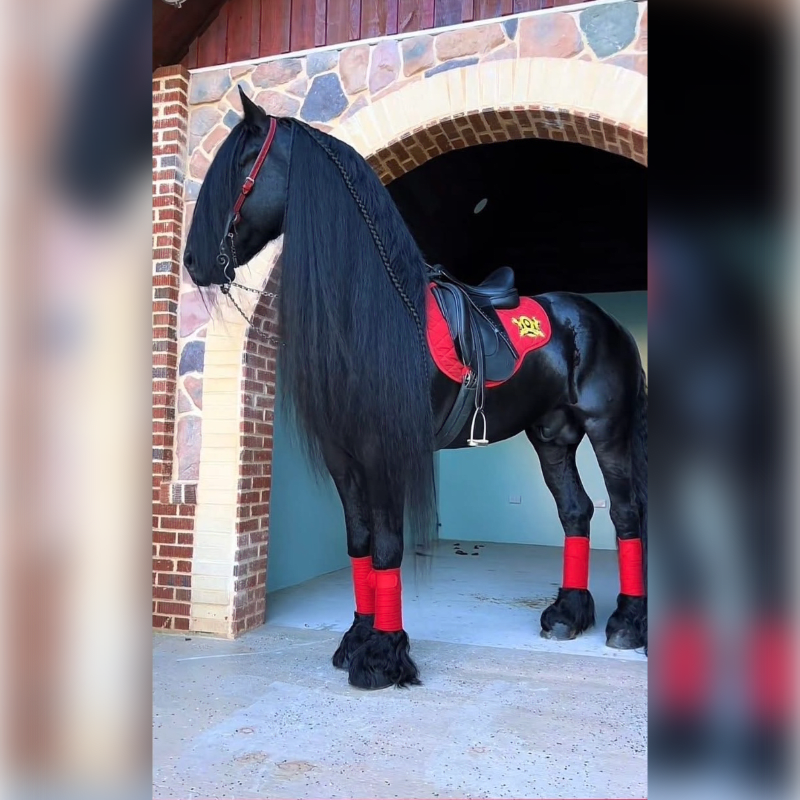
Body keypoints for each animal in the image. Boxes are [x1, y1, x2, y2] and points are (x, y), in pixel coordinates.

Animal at [182, 87, 648, 690]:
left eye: (243, 163)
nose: (192, 262)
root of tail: (602, 320)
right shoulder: (342, 455)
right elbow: (359, 542)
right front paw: (355, 640)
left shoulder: (384, 450)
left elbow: (387, 545)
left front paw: (383, 655)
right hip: (551, 436)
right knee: (576, 511)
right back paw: (567, 614)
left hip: (606, 429)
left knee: (626, 512)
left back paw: (628, 624)